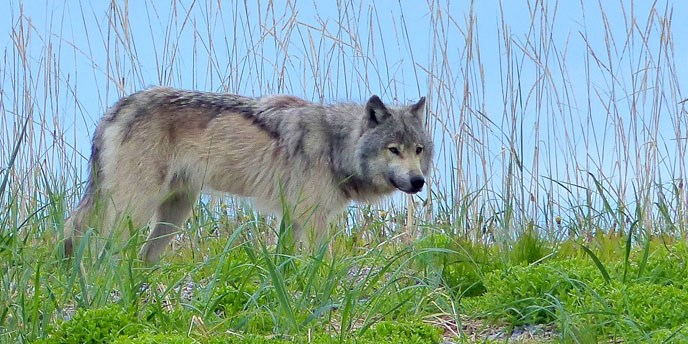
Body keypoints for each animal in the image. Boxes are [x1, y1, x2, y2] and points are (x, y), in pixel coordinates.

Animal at [63, 88, 430, 264]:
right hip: (134, 209)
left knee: (139, 254)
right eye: (393, 150)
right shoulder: (312, 218)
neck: (334, 145)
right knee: (102, 244)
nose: (418, 182)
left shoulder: (294, 218)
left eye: (418, 150)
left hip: (174, 213)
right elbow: (320, 261)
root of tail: (119, 108)